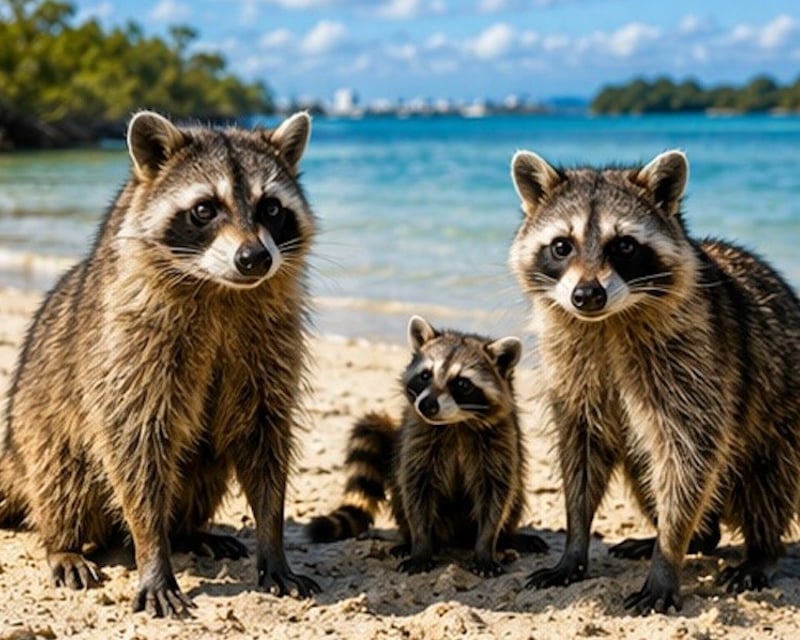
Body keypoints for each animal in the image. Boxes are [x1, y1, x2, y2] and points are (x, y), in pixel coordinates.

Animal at [0, 110, 320, 616]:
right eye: (205, 210)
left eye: (271, 208)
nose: (254, 258)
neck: (220, 289)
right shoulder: (127, 343)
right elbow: (136, 443)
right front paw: (152, 550)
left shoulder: (270, 344)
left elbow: (263, 435)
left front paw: (273, 542)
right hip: (39, 428)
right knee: (62, 474)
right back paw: (63, 541)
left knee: (206, 465)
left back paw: (188, 530)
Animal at [308, 316, 548, 577]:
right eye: (425, 375)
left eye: (462, 383)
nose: (426, 405)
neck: (456, 423)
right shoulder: (417, 437)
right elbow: (416, 492)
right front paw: (421, 546)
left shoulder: (500, 440)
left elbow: (495, 494)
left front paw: (486, 546)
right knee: (402, 496)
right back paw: (411, 541)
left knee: (515, 495)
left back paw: (506, 539)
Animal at [509, 149, 800, 613]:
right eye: (561, 246)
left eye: (625, 245)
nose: (586, 296)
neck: (607, 322)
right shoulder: (571, 369)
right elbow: (580, 450)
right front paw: (575, 545)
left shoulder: (696, 359)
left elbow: (690, 453)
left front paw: (668, 556)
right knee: (647, 471)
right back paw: (699, 535)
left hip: (782, 419)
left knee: (768, 481)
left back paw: (761, 549)